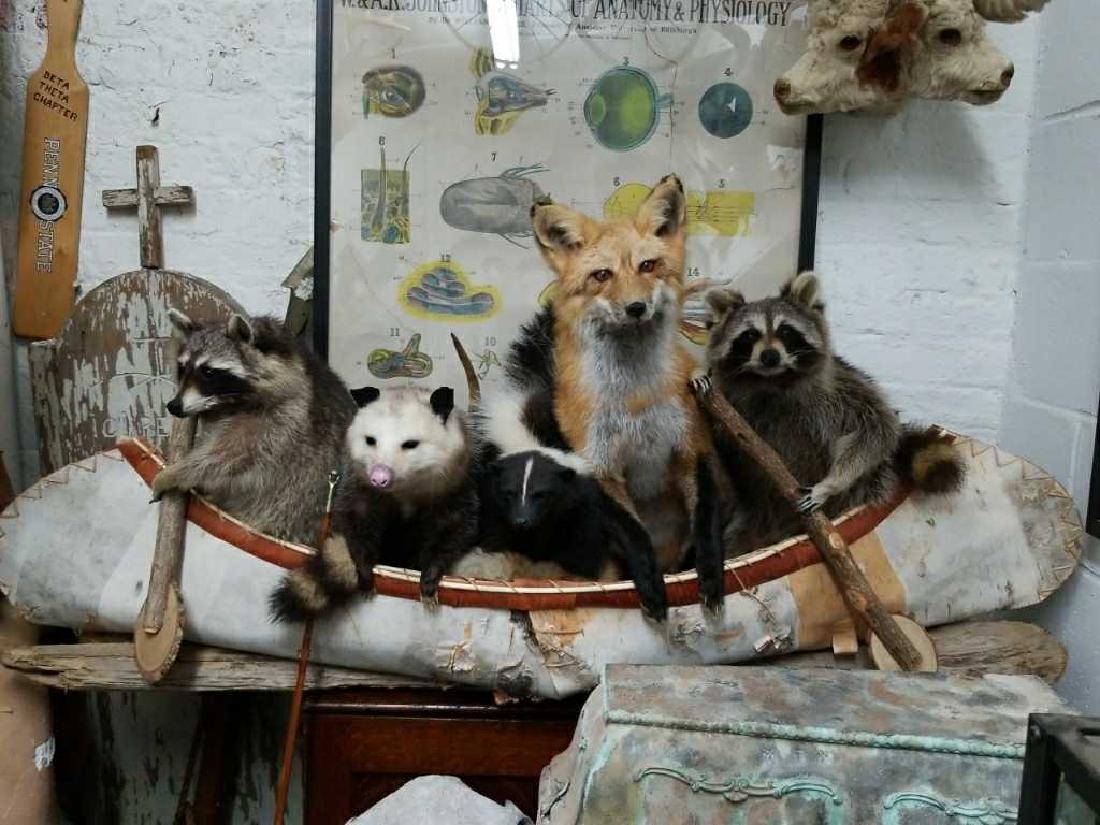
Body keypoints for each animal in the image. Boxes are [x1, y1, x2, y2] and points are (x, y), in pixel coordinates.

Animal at [153, 310, 355, 545]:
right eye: (182, 367)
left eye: (208, 372)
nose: (174, 406)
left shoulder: (286, 418)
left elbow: (231, 456)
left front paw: (177, 472)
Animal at [270, 385, 481, 620]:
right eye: (370, 440)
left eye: (411, 444)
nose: (379, 478)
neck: (406, 491)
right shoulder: (358, 489)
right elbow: (355, 523)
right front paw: (364, 571)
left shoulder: (457, 489)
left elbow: (453, 531)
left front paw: (429, 579)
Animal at [527, 174, 727, 613]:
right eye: (602, 275)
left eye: (647, 266)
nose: (636, 307)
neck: (635, 401)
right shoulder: (598, 466)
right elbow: (636, 536)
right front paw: (651, 589)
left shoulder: (692, 446)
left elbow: (706, 524)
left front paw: (710, 578)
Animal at [703, 272, 964, 550]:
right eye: (750, 335)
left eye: (786, 331)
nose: (770, 356)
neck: (773, 380)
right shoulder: (732, 402)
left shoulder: (842, 388)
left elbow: (876, 430)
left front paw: (830, 484)